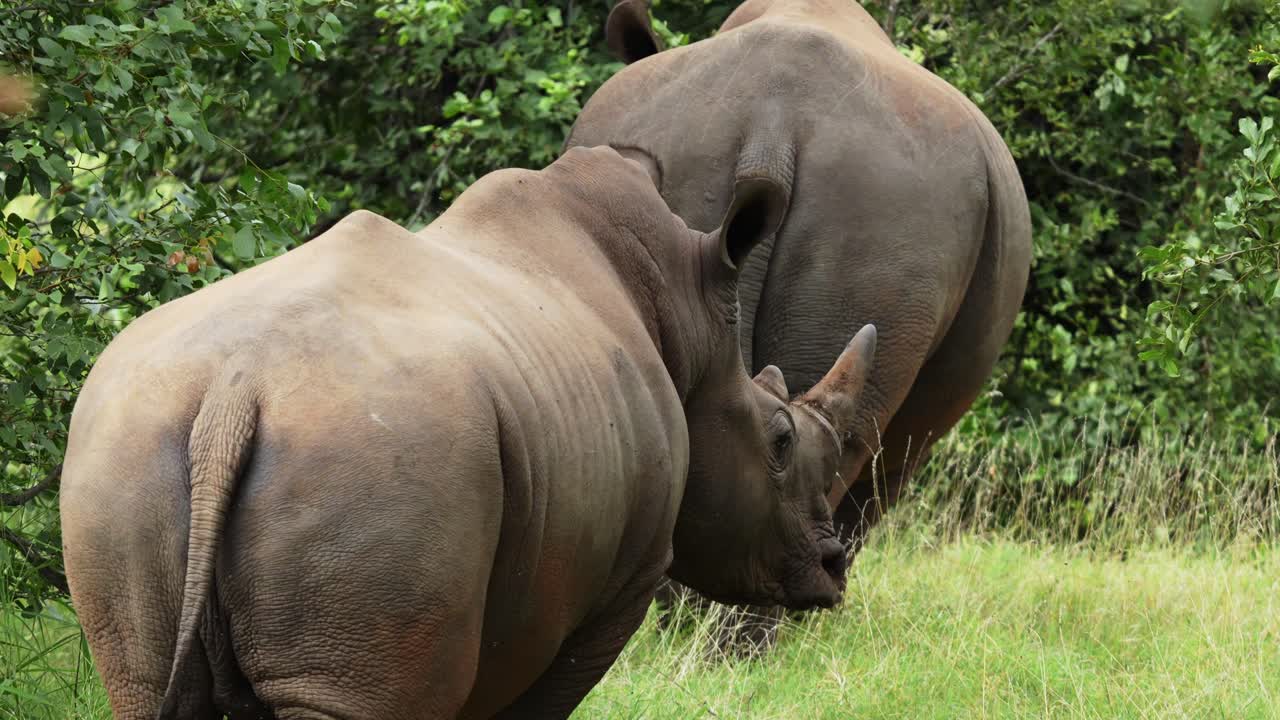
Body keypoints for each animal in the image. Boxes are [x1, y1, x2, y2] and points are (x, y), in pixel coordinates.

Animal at [60, 146, 877, 719]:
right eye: (779, 441)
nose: (833, 567)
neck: (693, 338)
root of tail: (234, 393)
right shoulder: (619, 584)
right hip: (379, 465)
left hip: (124, 449)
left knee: (134, 682)